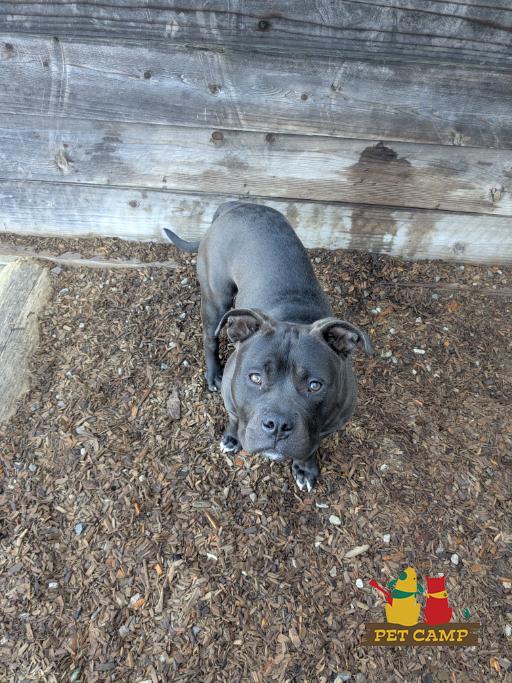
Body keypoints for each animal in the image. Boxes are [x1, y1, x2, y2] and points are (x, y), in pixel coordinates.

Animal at [164, 202, 371, 490]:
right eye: (255, 377)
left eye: (314, 385)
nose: (277, 425)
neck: (294, 318)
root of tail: (234, 206)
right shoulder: (232, 402)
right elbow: (235, 419)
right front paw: (232, 438)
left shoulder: (329, 425)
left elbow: (311, 446)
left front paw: (305, 468)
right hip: (216, 299)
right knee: (210, 338)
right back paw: (213, 374)